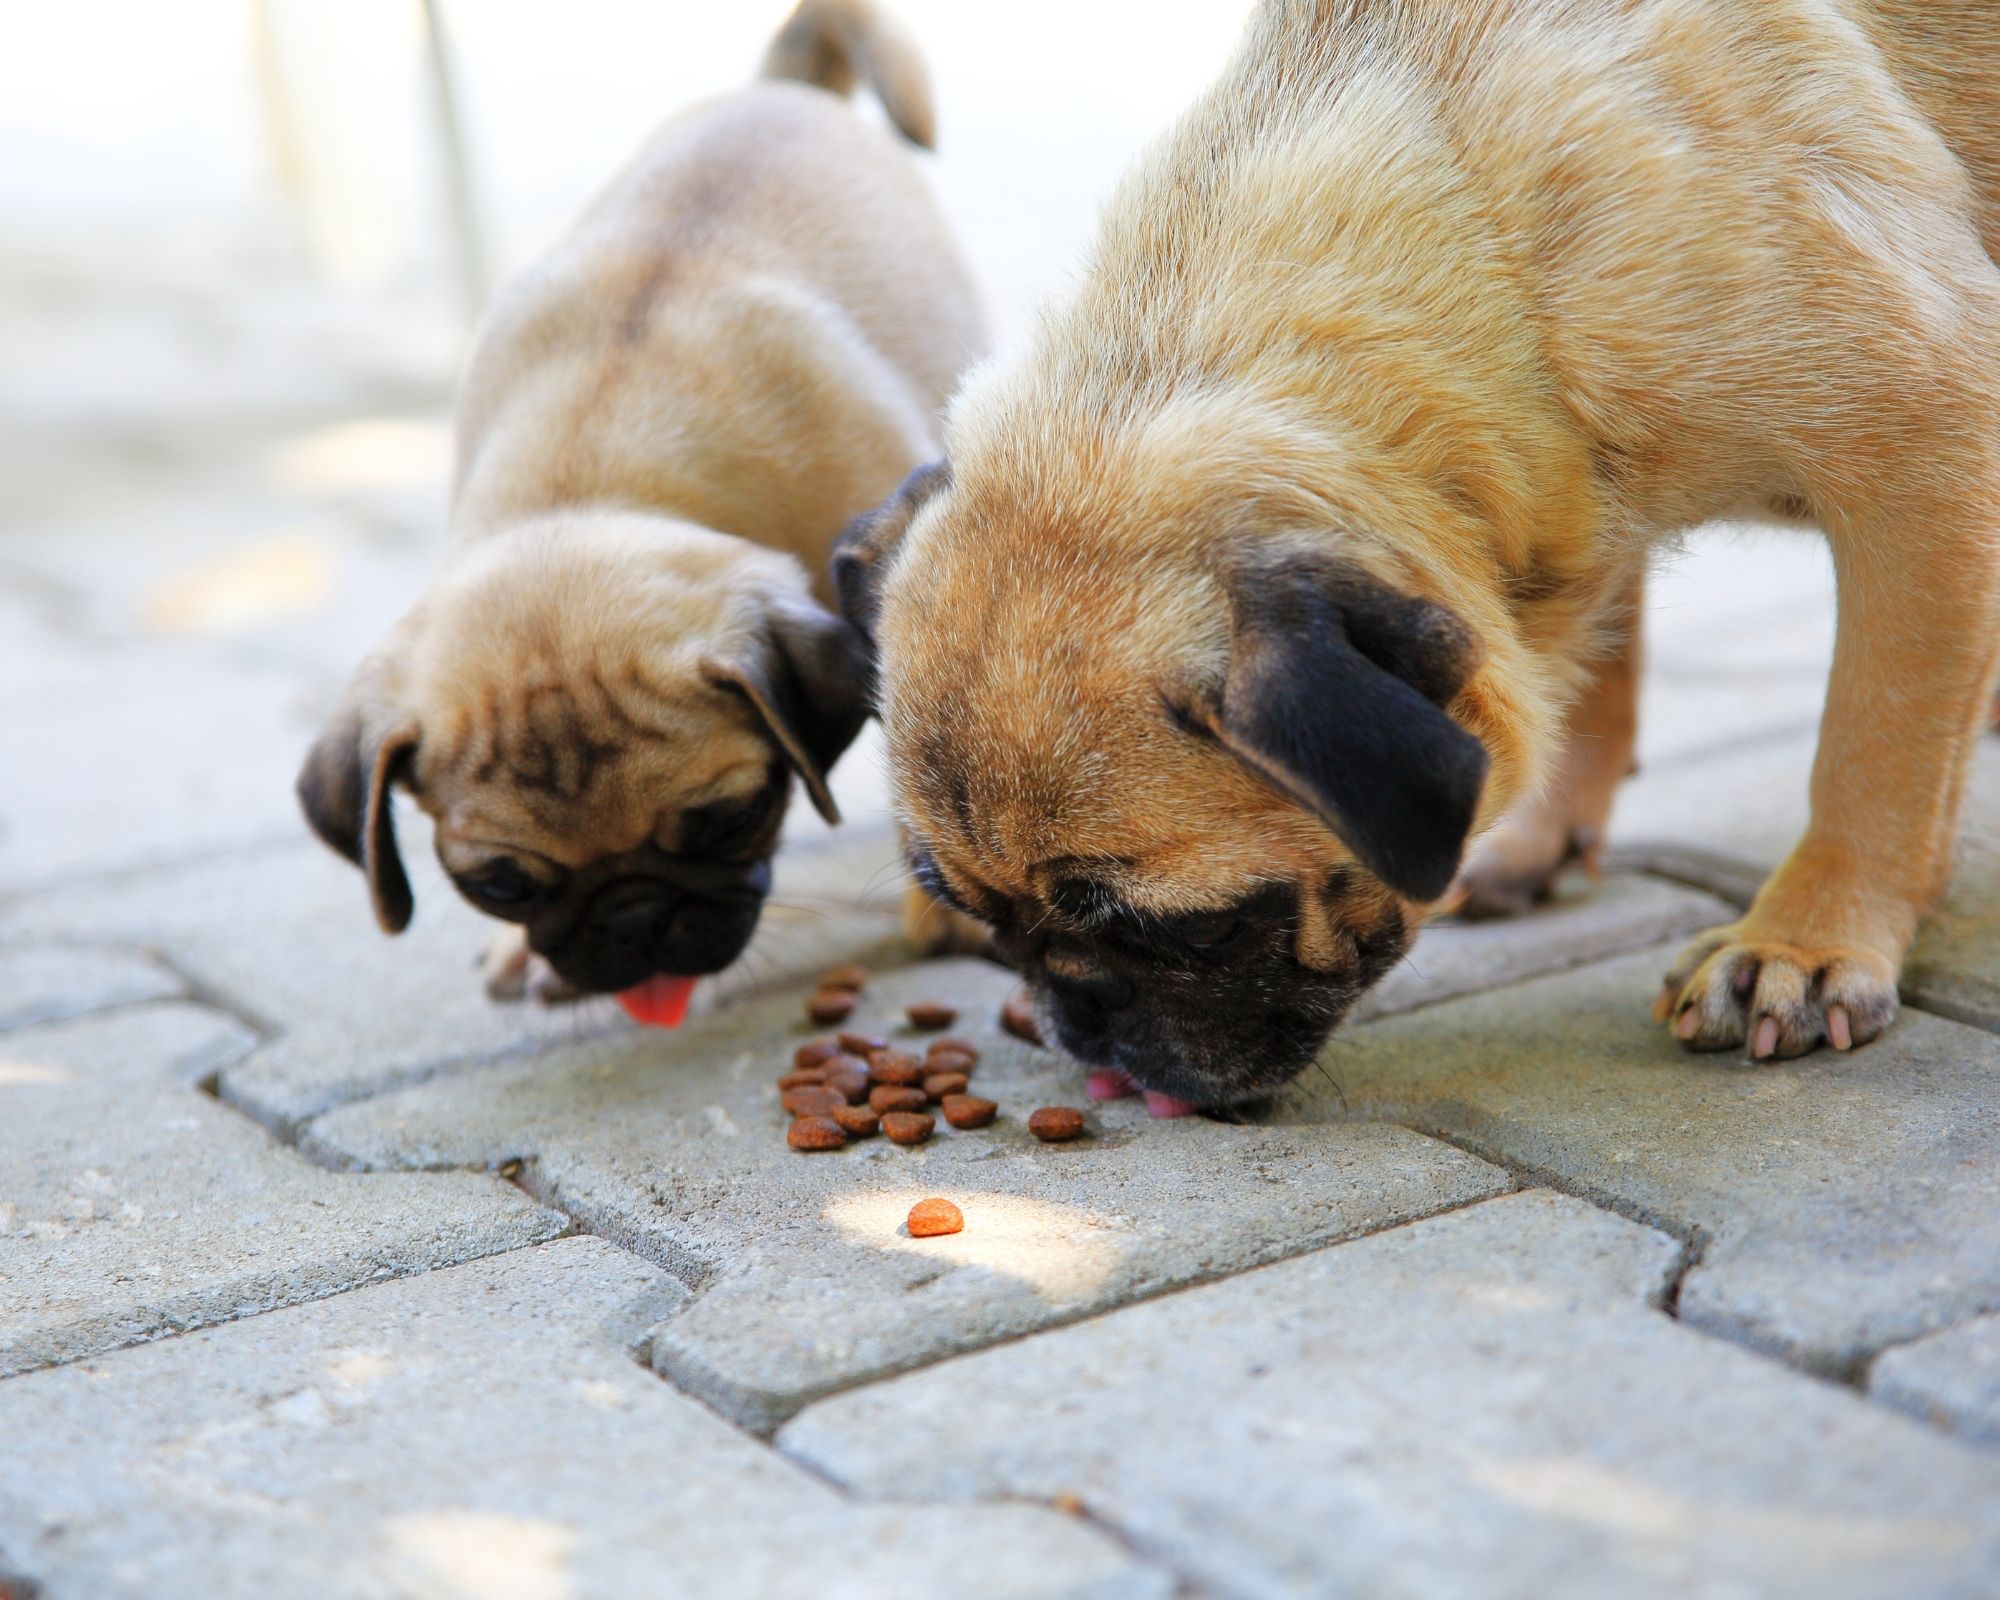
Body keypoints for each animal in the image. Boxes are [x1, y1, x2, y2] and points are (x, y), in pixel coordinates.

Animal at [298, 0, 984, 1020]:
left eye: (731, 820)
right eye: (501, 883)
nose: (634, 919)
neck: (591, 474)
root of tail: (781, 89)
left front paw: (948, 903)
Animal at [836, 0, 2000, 1104]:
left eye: (1190, 930)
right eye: (982, 921)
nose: (1071, 1015)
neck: (1498, 260)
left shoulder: (1923, 452)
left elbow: (1874, 742)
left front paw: (1804, 938)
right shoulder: (1568, 510)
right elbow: (1586, 669)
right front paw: (1542, 830)